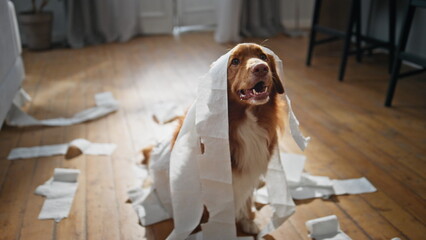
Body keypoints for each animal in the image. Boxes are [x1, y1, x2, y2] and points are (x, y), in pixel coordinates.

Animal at [144, 42, 286, 232]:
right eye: (235, 61)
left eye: (263, 56)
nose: (261, 68)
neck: (245, 120)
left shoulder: (251, 170)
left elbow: (248, 197)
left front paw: (248, 219)